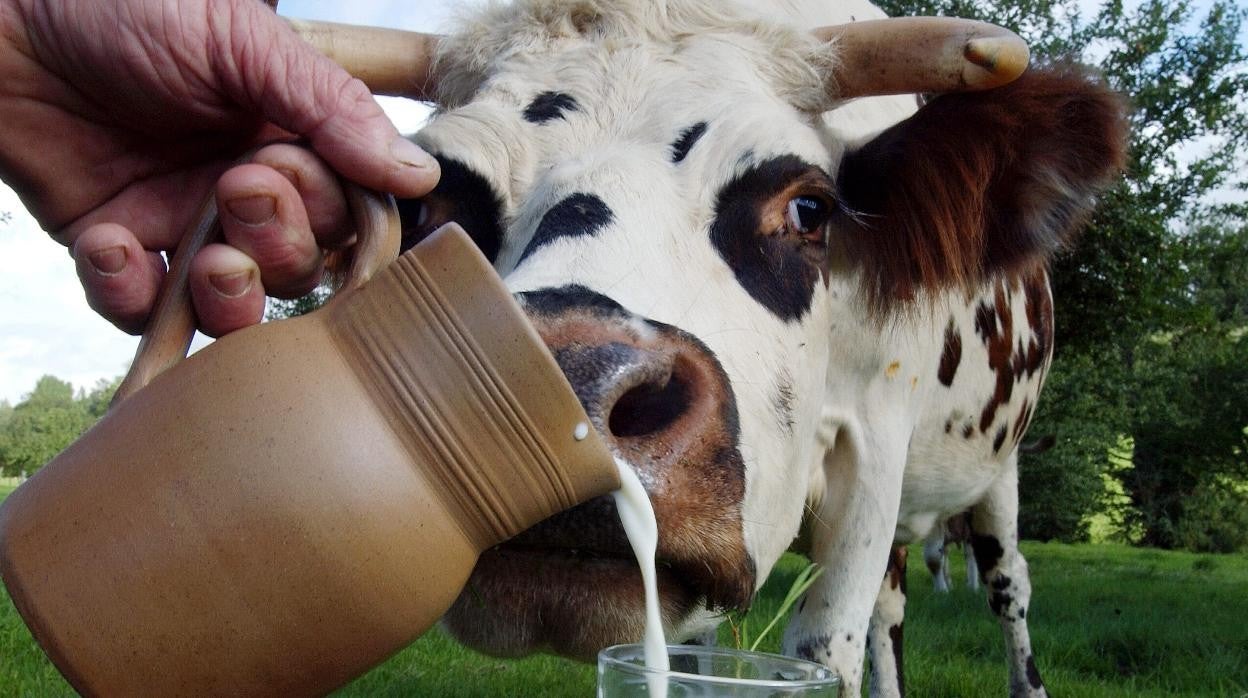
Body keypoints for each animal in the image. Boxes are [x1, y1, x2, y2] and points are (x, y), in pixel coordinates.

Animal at [374, 0, 1128, 694]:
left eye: (810, 208)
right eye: (424, 207)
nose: (568, 387)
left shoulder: (875, 455)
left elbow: (828, 650)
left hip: (999, 471)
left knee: (1008, 585)